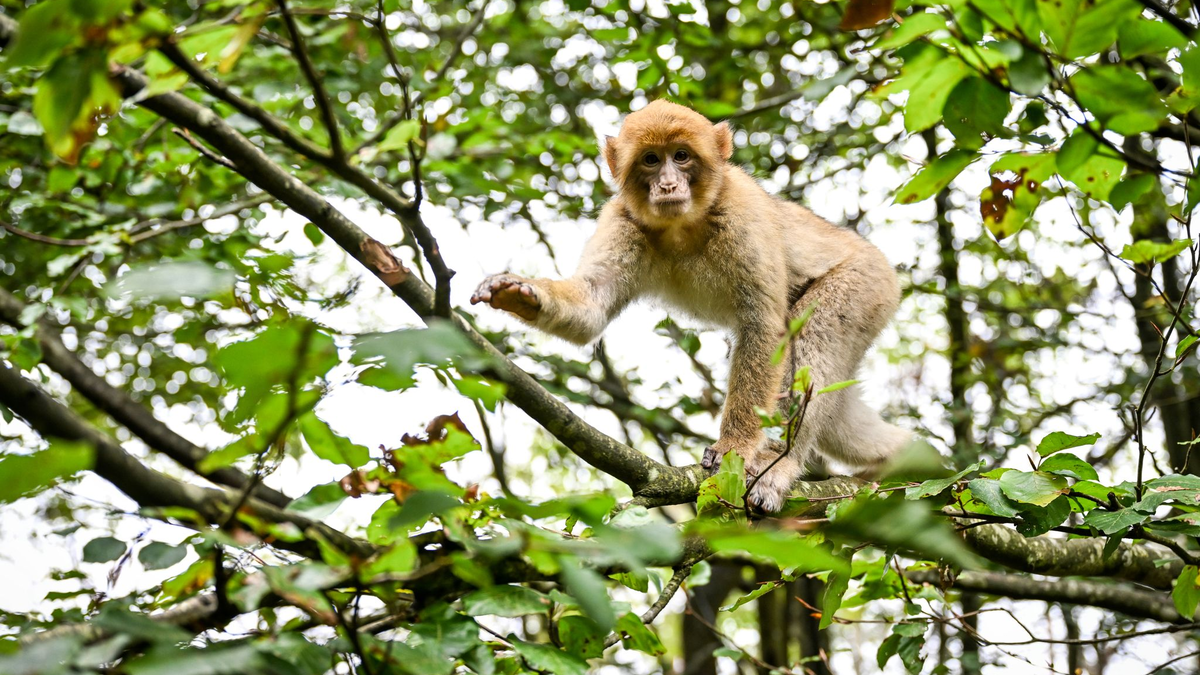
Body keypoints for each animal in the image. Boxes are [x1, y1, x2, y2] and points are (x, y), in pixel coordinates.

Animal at [470, 100, 909, 512]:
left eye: (681, 156)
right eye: (651, 160)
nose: (667, 184)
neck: (683, 224)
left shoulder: (742, 214)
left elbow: (765, 328)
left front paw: (735, 447)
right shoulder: (622, 219)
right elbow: (591, 307)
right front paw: (519, 292)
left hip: (865, 286)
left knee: (813, 342)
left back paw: (780, 465)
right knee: (836, 413)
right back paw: (901, 456)